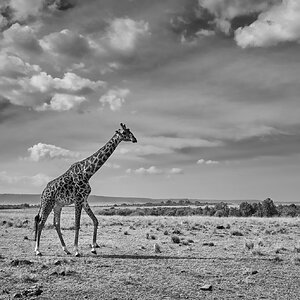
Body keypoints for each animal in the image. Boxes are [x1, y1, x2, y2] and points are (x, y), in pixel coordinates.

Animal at [34, 122, 137, 255]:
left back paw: (65, 249)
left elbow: (95, 220)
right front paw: (77, 250)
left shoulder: (84, 200)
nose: (134, 139)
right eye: (124, 133)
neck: (88, 172)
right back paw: (37, 250)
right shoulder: (78, 199)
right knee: (41, 223)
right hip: (48, 203)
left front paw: (93, 247)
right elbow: (77, 224)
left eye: (130, 131)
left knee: (56, 223)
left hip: (58, 205)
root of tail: (43, 193)